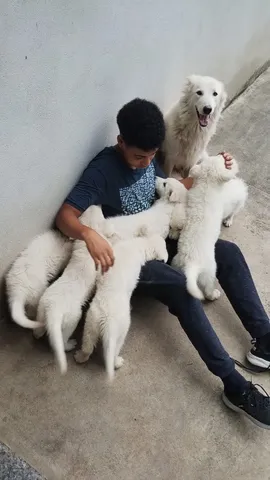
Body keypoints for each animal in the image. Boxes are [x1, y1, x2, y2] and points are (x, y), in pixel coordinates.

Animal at [73, 234, 167, 380]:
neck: (139, 244)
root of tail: (107, 321)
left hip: (91, 323)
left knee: (87, 346)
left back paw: (80, 357)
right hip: (120, 332)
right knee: (112, 353)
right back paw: (117, 362)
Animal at [172, 156, 246, 300]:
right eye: (219, 159)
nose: (222, 155)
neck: (207, 183)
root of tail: (191, 265)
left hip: (176, 263)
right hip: (210, 271)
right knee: (208, 289)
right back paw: (214, 294)